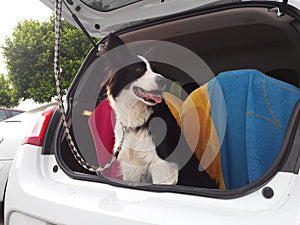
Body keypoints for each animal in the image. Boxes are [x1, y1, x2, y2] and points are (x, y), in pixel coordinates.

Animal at [102, 33, 217, 188]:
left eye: (156, 69)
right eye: (138, 70)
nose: (163, 81)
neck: (137, 119)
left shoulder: (162, 164)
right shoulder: (132, 164)